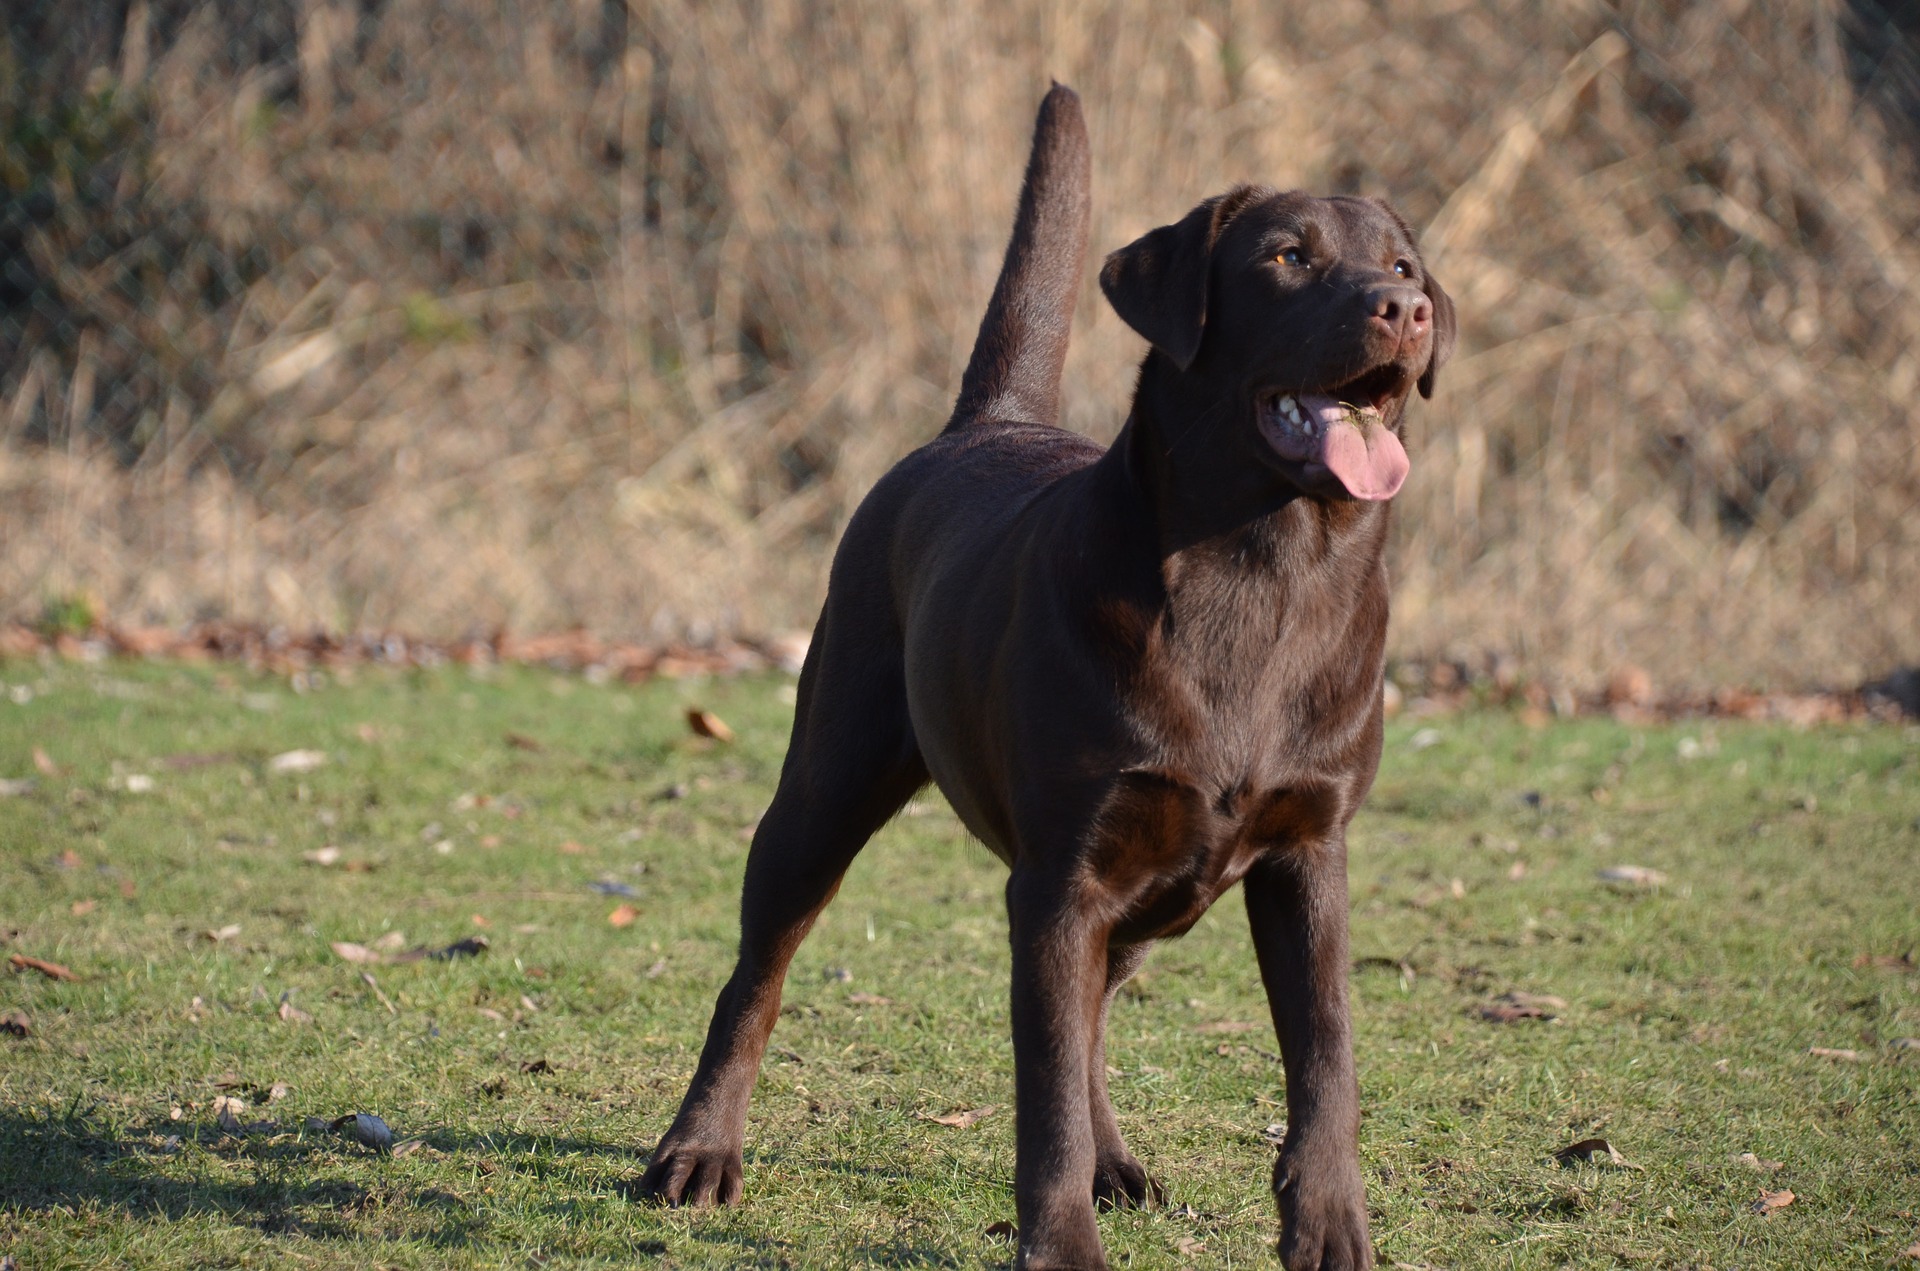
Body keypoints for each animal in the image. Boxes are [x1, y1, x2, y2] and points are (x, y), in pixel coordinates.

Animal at [637, 82, 1443, 1271]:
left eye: (1401, 263)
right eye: (1288, 257)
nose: (1405, 310)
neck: (1263, 569)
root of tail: (990, 419)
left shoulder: (1309, 854)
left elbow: (1325, 1055)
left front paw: (1331, 1228)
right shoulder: (1063, 875)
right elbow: (1047, 1084)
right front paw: (1060, 1245)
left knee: (1096, 1010)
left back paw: (1116, 1161)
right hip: (826, 786)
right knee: (758, 973)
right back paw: (698, 1150)